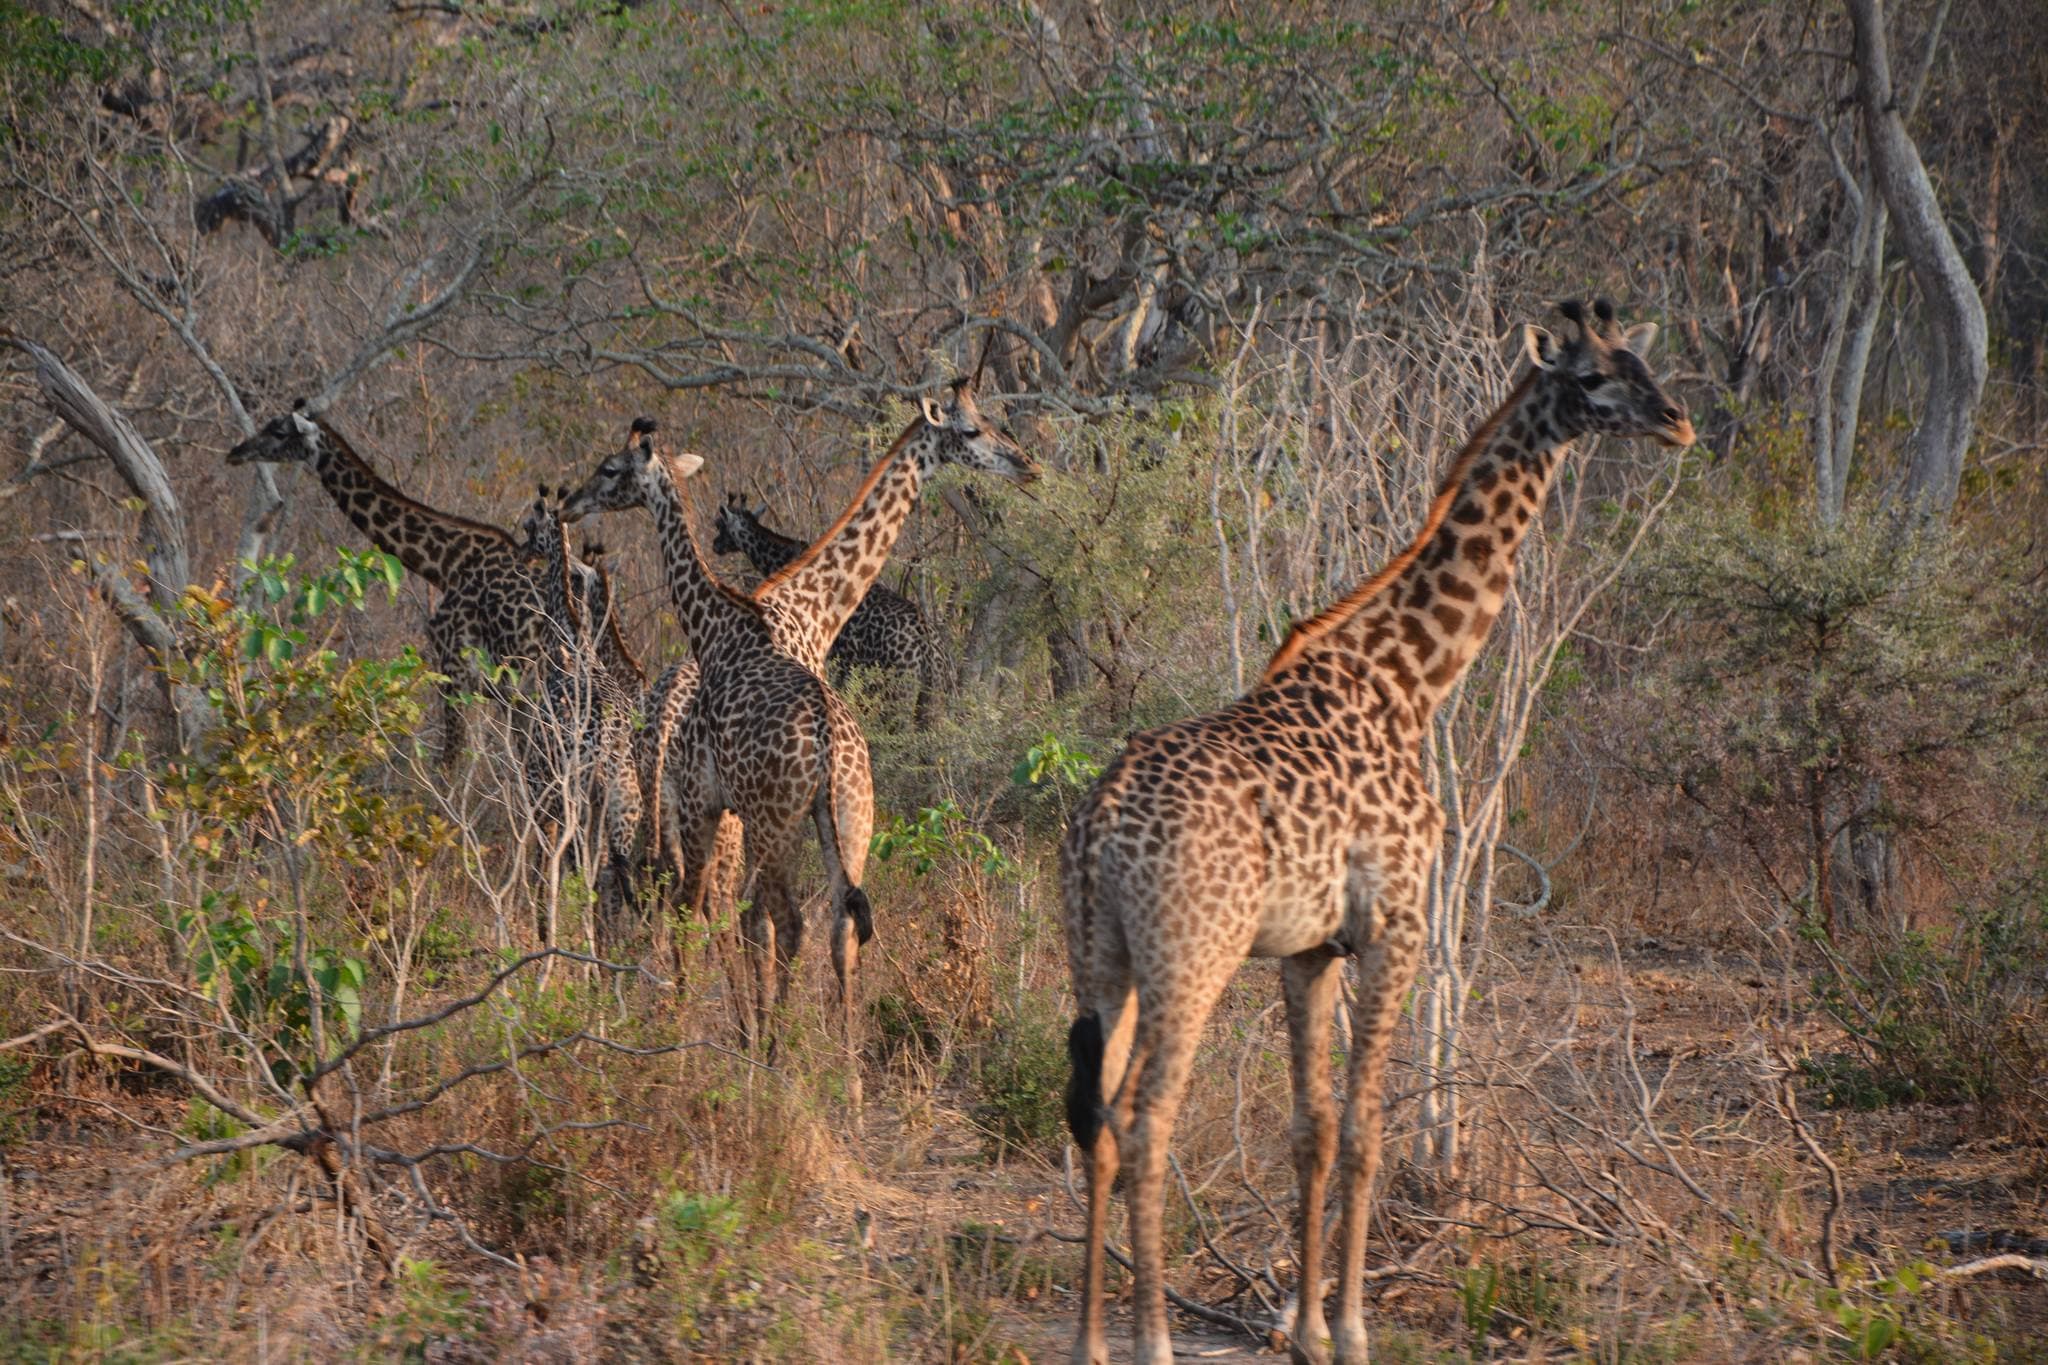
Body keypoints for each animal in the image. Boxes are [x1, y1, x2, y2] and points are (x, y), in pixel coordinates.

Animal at [225, 404, 548, 767]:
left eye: (279, 432)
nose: (236, 452)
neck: (445, 564)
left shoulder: (455, 666)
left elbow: (451, 763)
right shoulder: (484, 683)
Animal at [560, 419, 876, 1077]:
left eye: (609, 469)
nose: (569, 504)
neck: (715, 631)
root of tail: (831, 750)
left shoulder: (702, 801)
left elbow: (695, 906)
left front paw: (685, 1029)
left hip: (774, 822)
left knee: (786, 921)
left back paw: (775, 1054)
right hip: (850, 823)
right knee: (842, 928)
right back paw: (849, 1075)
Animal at [712, 497, 953, 723]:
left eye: (719, 524)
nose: (715, 545)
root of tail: (929, 648)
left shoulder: (828, 655)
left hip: (899, 692)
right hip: (932, 698)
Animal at [1060, 302, 1693, 1365]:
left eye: (1641, 360)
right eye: (1597, 377)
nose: (1680, 422)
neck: (1411, 677)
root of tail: (1102, 821)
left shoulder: (1307, 948)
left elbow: (1311, 1127)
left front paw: (1304, 1326)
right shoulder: (1395, 923)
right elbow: (1365, 1130)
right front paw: (1352, 1329)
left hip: (1100, 957)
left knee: (1098, 1120)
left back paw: (1091, 1343)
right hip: (1191, 955)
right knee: (1146, 1122)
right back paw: (1151, 1342)